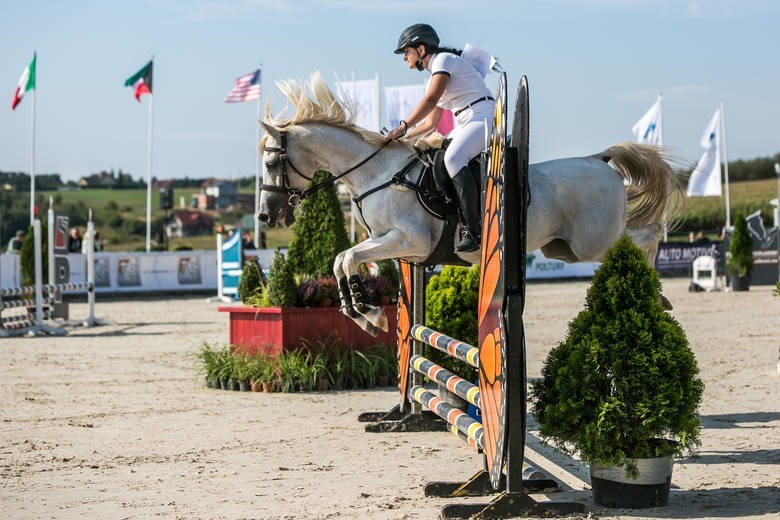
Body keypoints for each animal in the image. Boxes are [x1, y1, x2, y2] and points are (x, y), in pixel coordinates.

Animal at [258, 73, 684, 336]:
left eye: (272, 163)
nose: (266, 214)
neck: (377, 172)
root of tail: (599, 160)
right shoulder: (386, 242)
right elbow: (342, 260)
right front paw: (362, 312)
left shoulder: (408, 240)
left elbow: (346, 259)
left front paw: (370, 313)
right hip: (562, 248)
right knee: (638, 237)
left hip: (593, 241)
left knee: (645, 235)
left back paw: (656, 293)